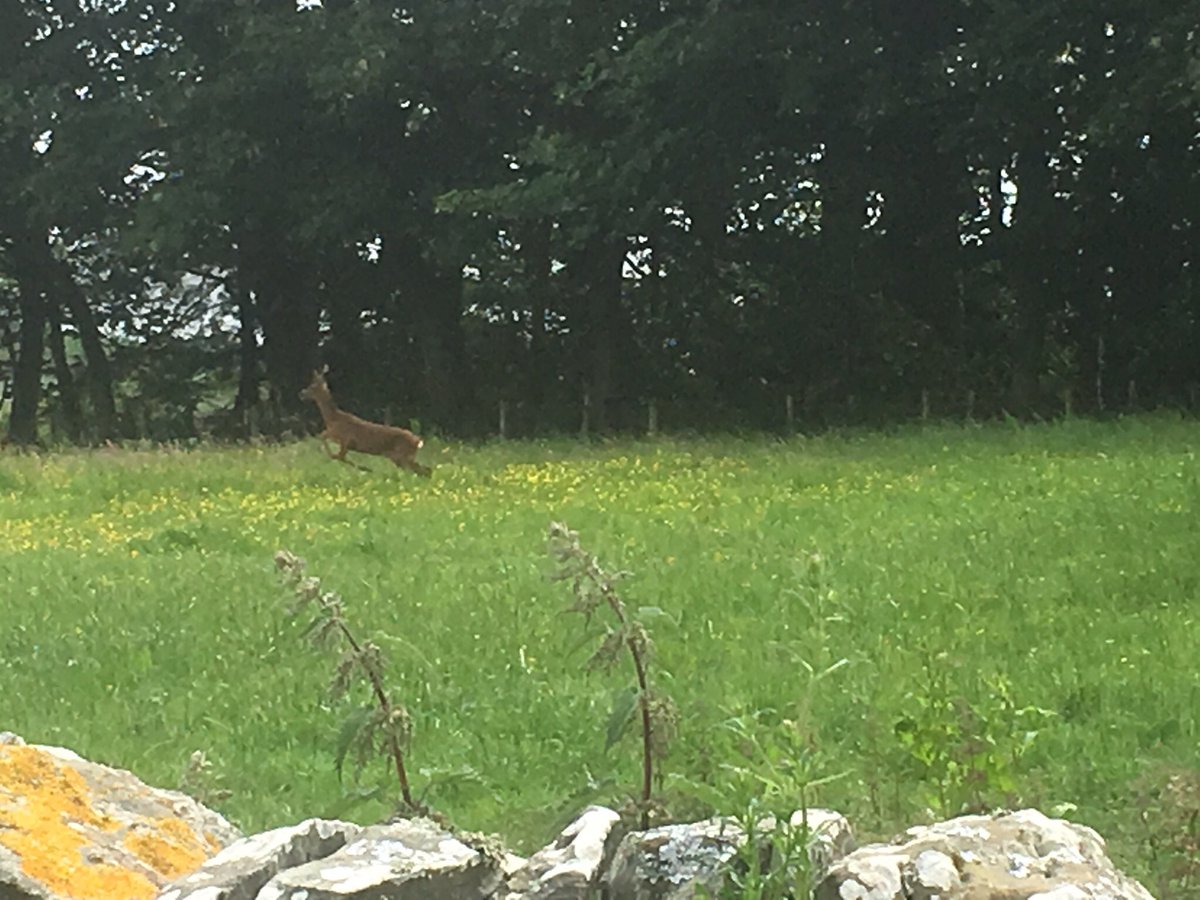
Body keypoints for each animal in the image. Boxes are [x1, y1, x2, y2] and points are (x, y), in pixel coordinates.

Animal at [299, 367, 431, 477]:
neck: (332, 418)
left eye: (312, 386)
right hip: (401, 458)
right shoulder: (341, 440)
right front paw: (365, 468)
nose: (301, 394)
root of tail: (417, 441)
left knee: (423, 470)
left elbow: (331, 446)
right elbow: (328, 443)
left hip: (403, 456)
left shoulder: (345, 439)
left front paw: (365, 468)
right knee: (425, 470)